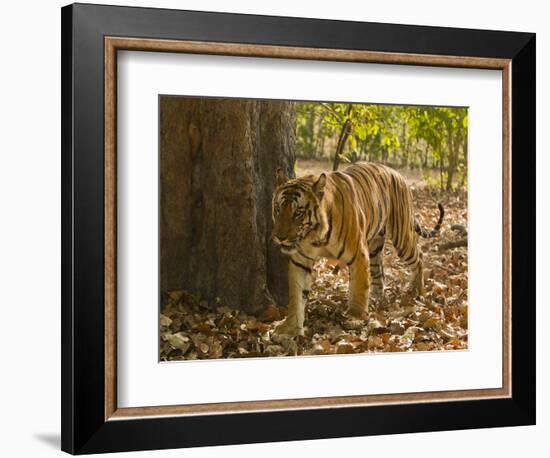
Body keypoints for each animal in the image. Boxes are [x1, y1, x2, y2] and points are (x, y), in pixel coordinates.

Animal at [272, 161, 444, 336]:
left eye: (298, 213)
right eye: (278, 209)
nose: (280, 237)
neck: (315, 236)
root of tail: (397, 174)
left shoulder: (358, 254)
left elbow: (359, 288)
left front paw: (355, 318)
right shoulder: (301, 260)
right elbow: (296, 295)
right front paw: (289, 328)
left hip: (402, 238)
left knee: (419, 256)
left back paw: (417, 290)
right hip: (375, 247)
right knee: (379, 274)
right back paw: (375, 299)